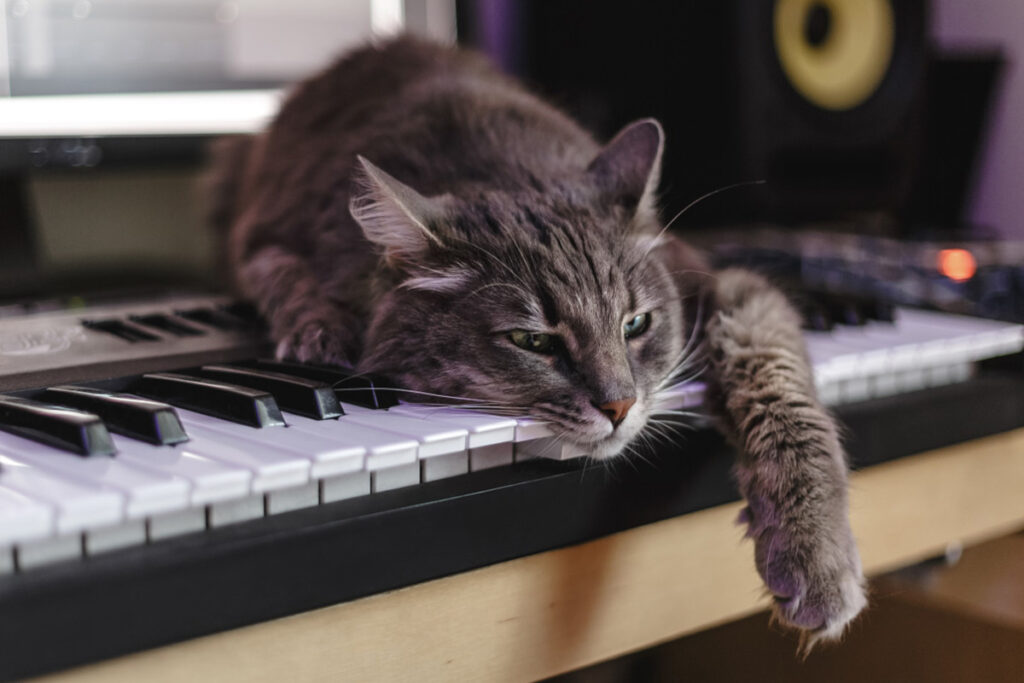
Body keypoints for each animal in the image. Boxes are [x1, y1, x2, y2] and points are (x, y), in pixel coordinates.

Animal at [207, 36, 864, 647]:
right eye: (532, 341)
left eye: (635, 325)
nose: (620, 406)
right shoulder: (263, 240)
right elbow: (288, 283)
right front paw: (320, 333)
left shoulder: (731, 288)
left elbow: (782, 390)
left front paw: (817, 555)